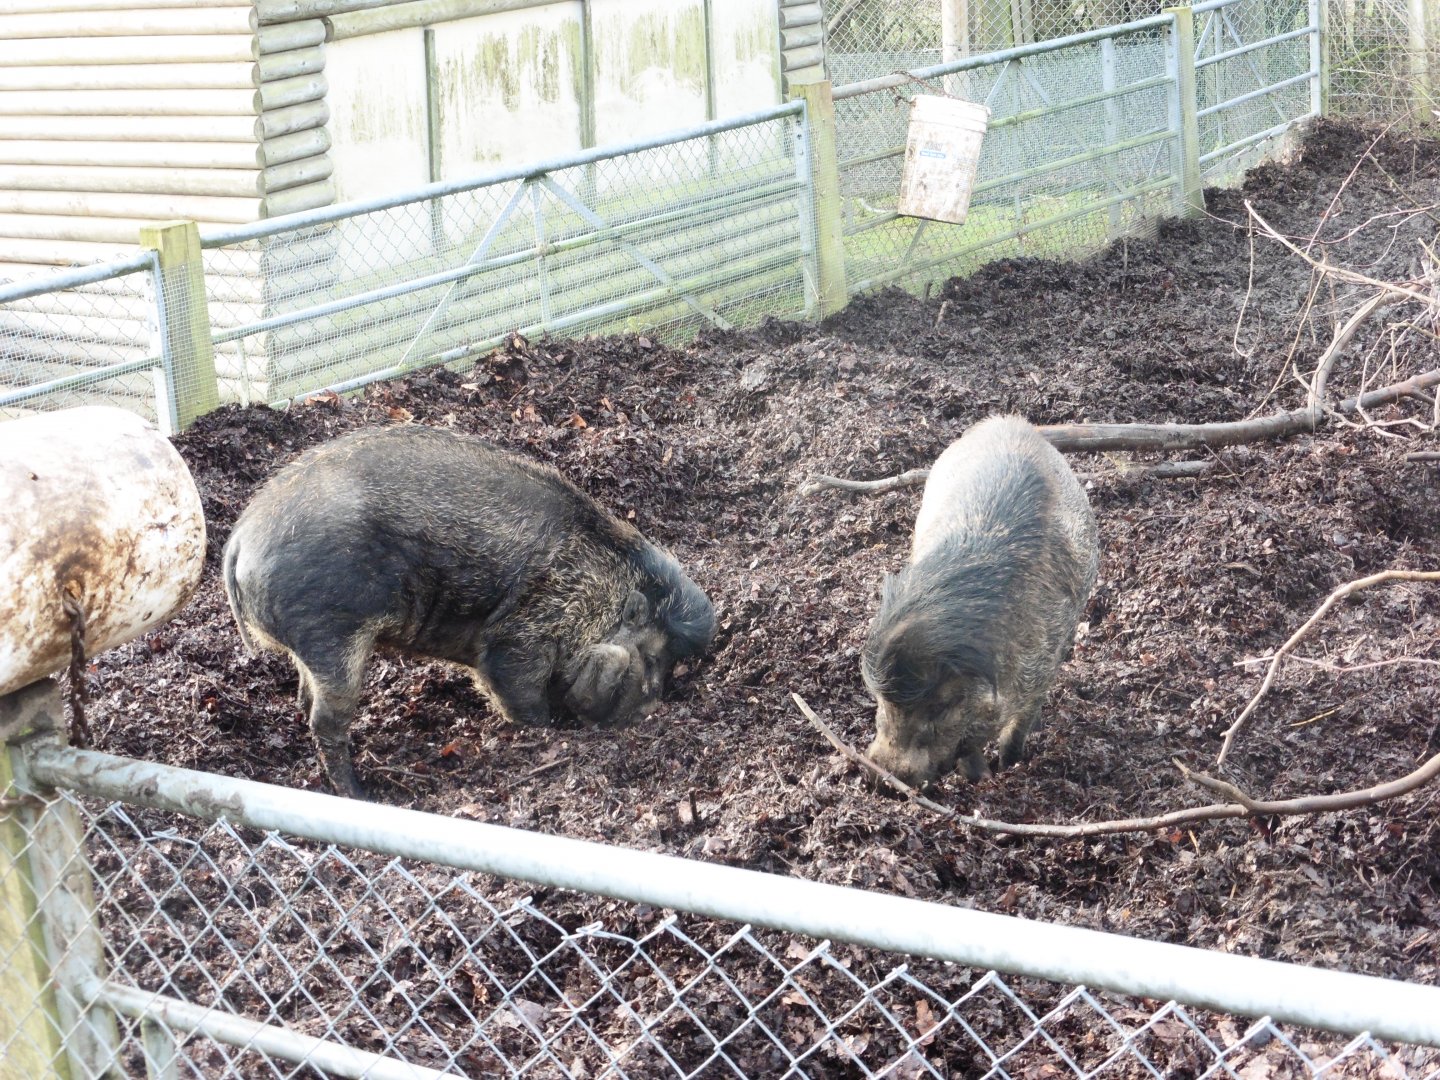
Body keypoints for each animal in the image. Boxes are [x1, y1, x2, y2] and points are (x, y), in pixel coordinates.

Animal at [221, 425, 716, 798]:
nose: (650, 710)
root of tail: (242, 538)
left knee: (306, 700)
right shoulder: (521, 636)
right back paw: (360, 794)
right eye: (651, 659)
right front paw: (546, 733)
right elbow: (519, 692)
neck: (598, 591)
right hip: (329, 629)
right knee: (326, 719)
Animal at [860, 415, 1098, 787]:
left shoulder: (1042, 666)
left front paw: (1002, 769)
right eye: (880, 699)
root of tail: (1009, 421)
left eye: (942, 705)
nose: (884, 775)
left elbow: (1012, 729)